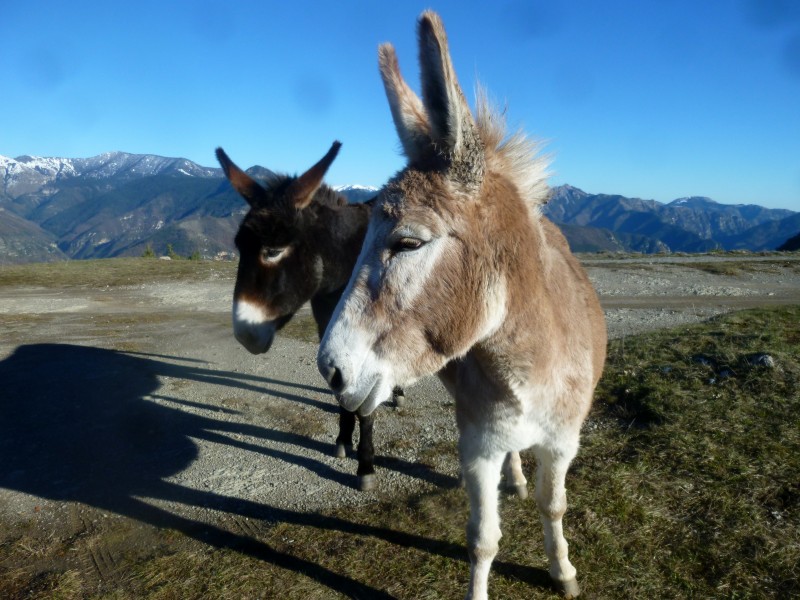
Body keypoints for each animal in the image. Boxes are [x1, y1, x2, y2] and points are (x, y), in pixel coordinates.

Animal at [216, 142, 404, 491]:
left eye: (273, 251)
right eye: (238, 248)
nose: (245, 335)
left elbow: (363, 406)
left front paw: (365, 465)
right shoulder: (327, 328)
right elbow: (341, 390)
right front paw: (343, 439)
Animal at [317, 12, 606, 599]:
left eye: (407, 242)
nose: (330, 370)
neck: (527, 364)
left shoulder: (564, 441)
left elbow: (554, 506)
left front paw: (563, 571)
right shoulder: (476, 445)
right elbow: (483, 540)